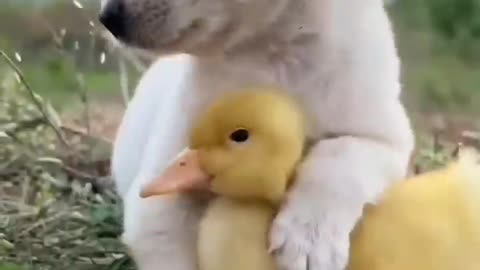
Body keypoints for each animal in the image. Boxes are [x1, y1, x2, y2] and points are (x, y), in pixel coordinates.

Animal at [99, 0, 414, 270]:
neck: (272, 54)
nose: (108, 18)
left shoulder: (386, 137)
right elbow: (163, 236)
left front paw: (309, 237)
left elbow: (339, 155)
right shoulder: (160, 195)